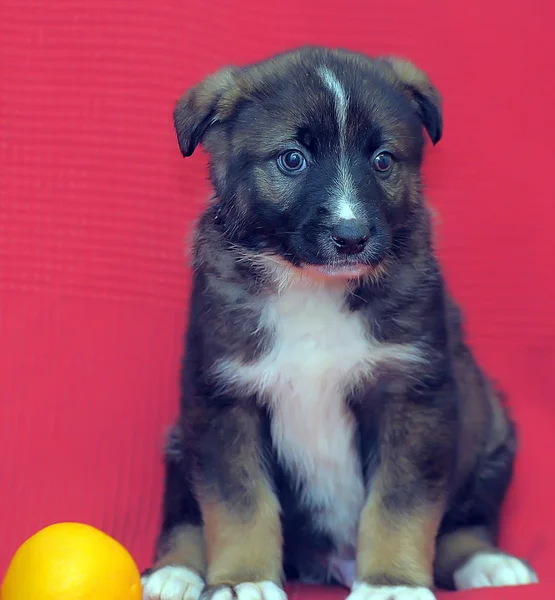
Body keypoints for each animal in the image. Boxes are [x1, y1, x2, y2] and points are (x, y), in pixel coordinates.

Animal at [141, 47, 540, 600]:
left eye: (383, 160)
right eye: (292, 159)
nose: (351, 237)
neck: (312, 288)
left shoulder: (410, 395)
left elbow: (400, 502)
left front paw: (391, 581)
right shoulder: (223, 398)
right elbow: (238, 502)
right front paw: (243, 579)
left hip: (491, 428)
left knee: (468, 521)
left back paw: (488, 562)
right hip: (181, 438)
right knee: (185, 513)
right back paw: (175, 570)